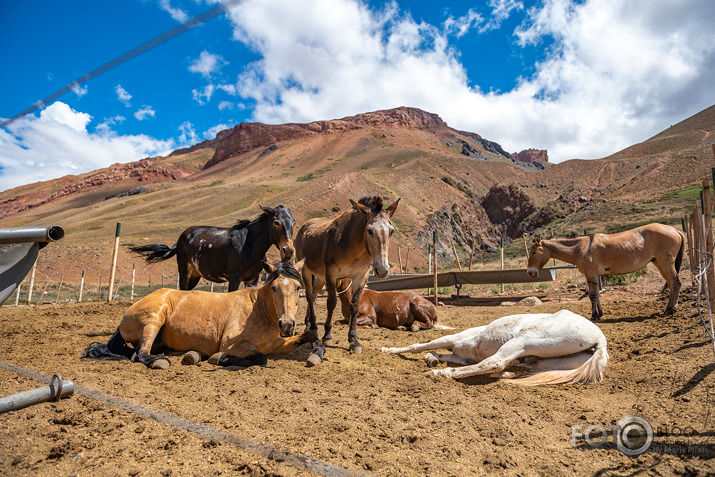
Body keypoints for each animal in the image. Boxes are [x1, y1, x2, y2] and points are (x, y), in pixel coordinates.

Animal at [81, 260, 316, 368]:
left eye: (297, 287)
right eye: (274, 288)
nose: (286, 325)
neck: (259, 312)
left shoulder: (280, 345)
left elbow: (307, 336)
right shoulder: (232, 343)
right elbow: (260, 357)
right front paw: (221, 359)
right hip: (155, 319)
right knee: (140, 354)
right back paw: (161, 360)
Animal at [130, 205, 296, 290]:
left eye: (293, 222)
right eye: (276, 222)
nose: (288, 250)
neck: (249, 245)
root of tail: (182, 238)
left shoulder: (252, 280)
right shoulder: (234, 279)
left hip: (195, 275)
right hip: (184, 272)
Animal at [294, 195, 400, 362]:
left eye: (391, 231)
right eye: (369, 231)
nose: (382, 270)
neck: (353, 246)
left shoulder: (360, 277)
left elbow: (354, 306)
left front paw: (353, 340)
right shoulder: (331, 275)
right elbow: (331, 303)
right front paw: (327, 335)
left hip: (319, 277)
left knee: (315, 294)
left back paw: (309, 325)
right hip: (306, 270)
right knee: (310, 297)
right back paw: (313, 327)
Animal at [380, 308, 608, 384]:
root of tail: (600, 340)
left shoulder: (453, 338)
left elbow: (418, 345)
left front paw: (387, 350)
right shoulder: (463, 355)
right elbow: (444, 354)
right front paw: (432, 358)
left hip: (523, 341)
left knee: (495, 363)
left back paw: (441, 374)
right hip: (542, 363)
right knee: (509, 369)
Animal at [524, 223, 688, 320]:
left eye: (533, 252)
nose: (530, 273)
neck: (579, 249)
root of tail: (675, 229)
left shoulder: (591, 274)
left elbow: (592, 295)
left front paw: (594, 316)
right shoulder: (593, 275)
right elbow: (596, 294)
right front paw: (600, 313)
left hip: (665, 263)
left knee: (676, 283)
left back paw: (670, 311)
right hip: (659, 263)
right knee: (672, 284)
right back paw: (670, 309)